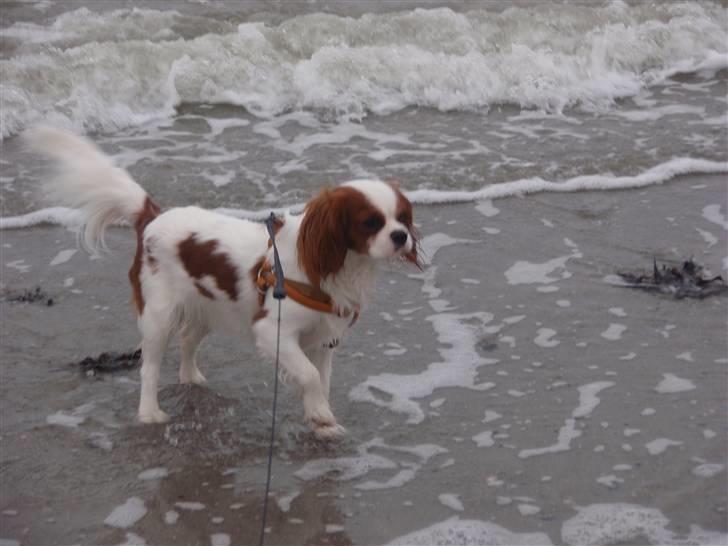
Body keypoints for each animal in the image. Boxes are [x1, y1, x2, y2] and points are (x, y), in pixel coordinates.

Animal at [29, 125, 420, 436]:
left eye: (402, 217)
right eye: (370, 222)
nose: (401, 236)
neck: (334, 266)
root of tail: (153, 216)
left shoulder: (323, 339)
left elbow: (320, 380)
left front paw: (320, 419)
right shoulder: (274, 331)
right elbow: (309, 376)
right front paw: (321, 414)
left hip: (206, 307)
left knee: (188, 340)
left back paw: (191, 378)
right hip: (159, 315)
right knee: (149, 367)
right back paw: (150, 413)